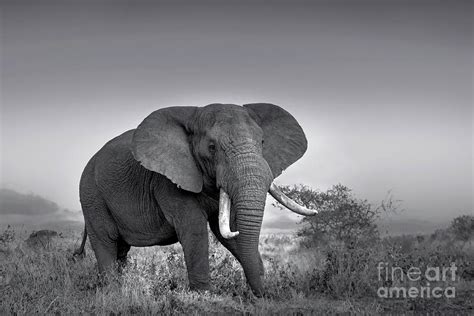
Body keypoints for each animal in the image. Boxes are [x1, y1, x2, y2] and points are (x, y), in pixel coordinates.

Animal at [75, 102, 314, 296]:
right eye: (212, 147)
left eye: (263, 142)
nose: (264, 294)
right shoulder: (167, 180)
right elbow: (194, 228)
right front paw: (203, 297)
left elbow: (229, 230)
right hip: (91, 195)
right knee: (106, 241)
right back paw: (112, 293)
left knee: (121, 249)